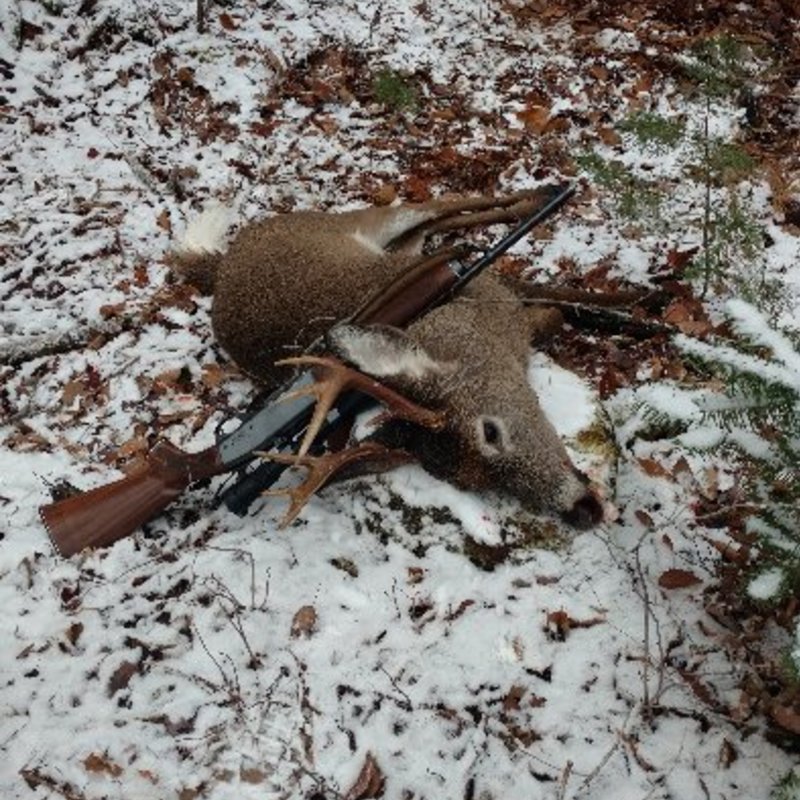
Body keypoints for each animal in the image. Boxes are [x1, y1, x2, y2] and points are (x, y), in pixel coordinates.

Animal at [168, 188, 607, 530]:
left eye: (491, 431)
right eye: (479, 483)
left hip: (369, 225)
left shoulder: (498, 293)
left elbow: (567, 303)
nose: (582, 509)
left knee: (440, 208)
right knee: (436, 218)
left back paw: (546, 192)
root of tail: (220, 265)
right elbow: (560, 309)